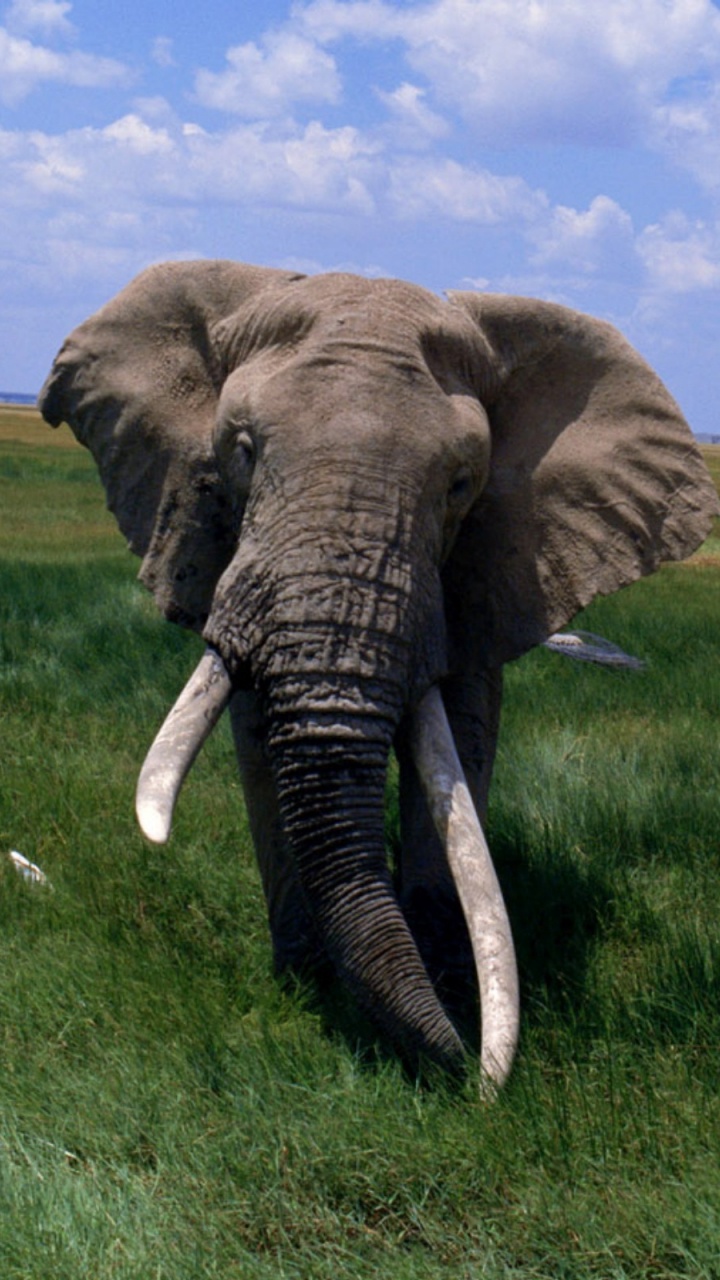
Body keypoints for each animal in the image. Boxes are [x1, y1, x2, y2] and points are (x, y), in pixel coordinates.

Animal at [38, 261, 718, 1088]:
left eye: (461, 484)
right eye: (242, 451)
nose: (472, 1076)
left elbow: (462, 737)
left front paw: (449, 983)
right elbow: (256, 738)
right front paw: (309, 985)